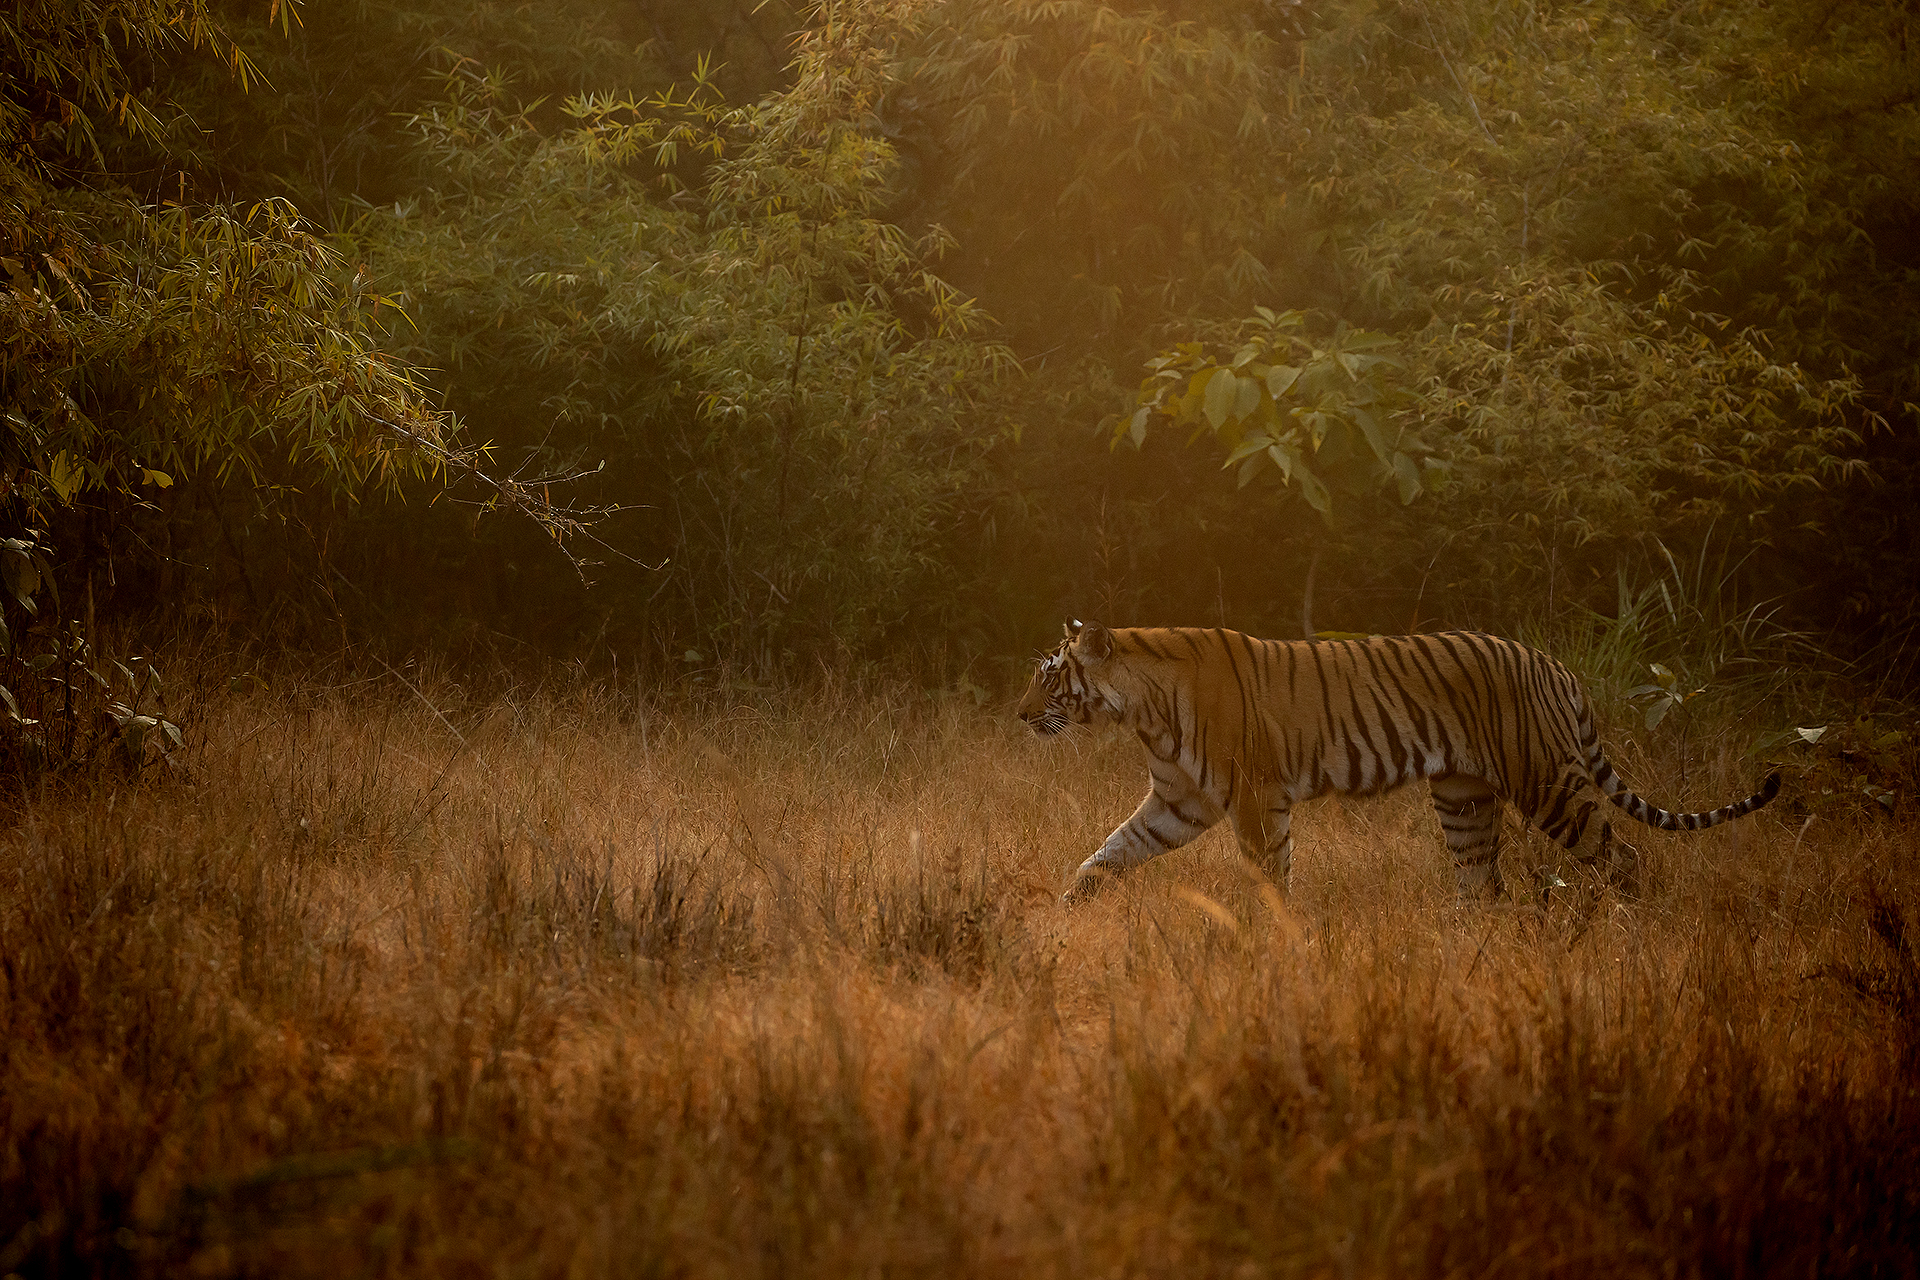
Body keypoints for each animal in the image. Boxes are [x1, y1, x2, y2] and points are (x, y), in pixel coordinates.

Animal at [1016, 620, 1780, 903]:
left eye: (1049, 679)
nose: (1019, 716)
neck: (1139, 709)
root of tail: (1554, 665)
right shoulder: (1180, 801)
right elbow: (1109, 851)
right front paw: (1069, 909)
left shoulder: (1257, 798)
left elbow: (1270, 872)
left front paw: (1271, 937)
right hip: (1463, 795)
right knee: (1483, 884)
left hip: (1547, 782)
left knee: (1625, 858)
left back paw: (1630, 931)